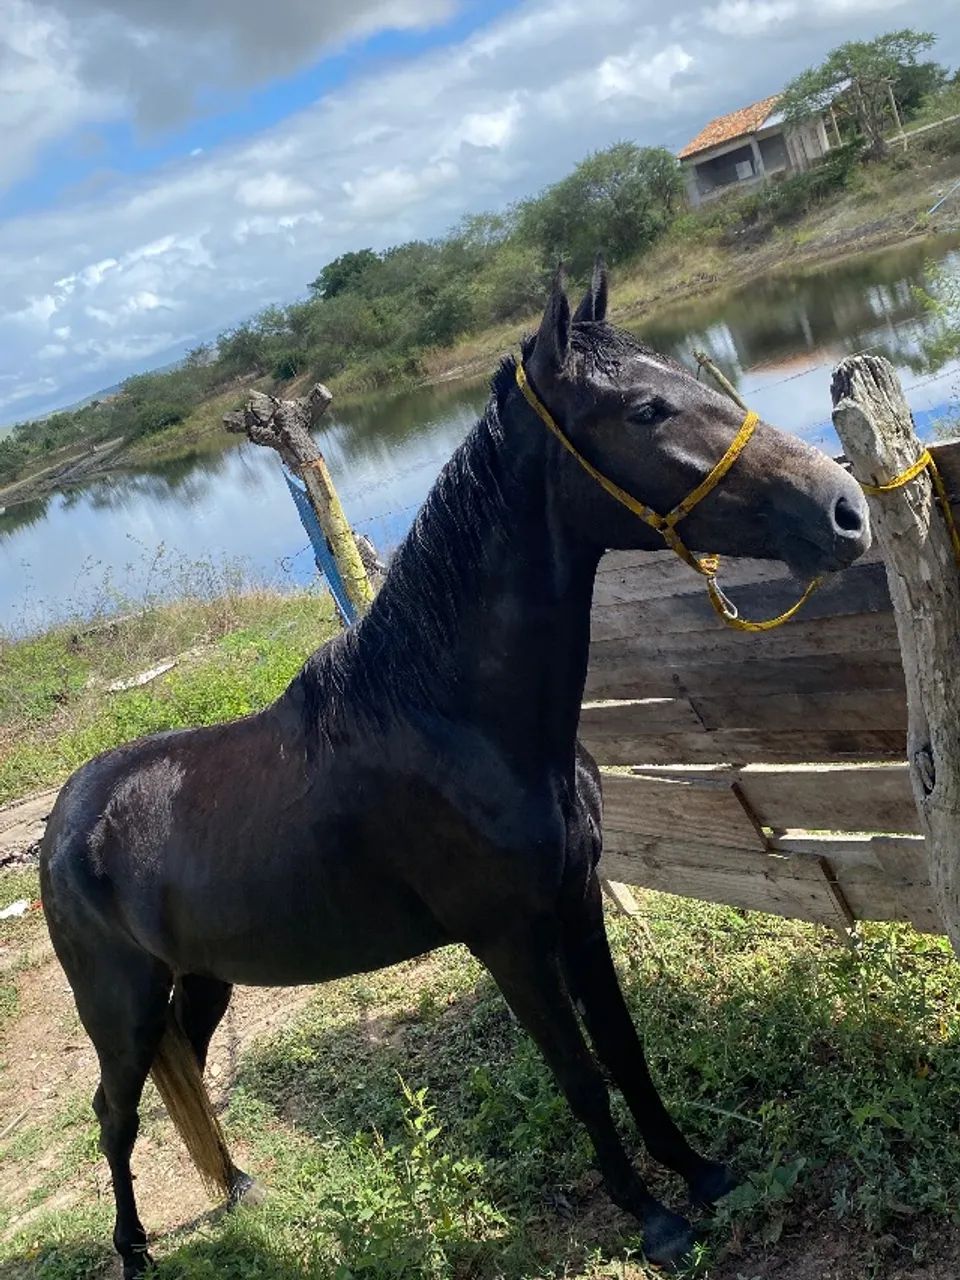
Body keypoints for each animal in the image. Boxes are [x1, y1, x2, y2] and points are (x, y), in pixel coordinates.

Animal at [40, 263, 870, 1277]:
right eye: (645, 409)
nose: (845, 511)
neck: (458, 725)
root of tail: (64, 822)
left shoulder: (576, 904)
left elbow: (623, 1048)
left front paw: (701, 1173)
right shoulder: (506, 937)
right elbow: (577, 1075)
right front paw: (652, 1217)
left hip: (199, 981)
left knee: (185, 1075)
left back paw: (237, 1188)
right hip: (118, 1010)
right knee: (114, 1114)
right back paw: (133, 1251)